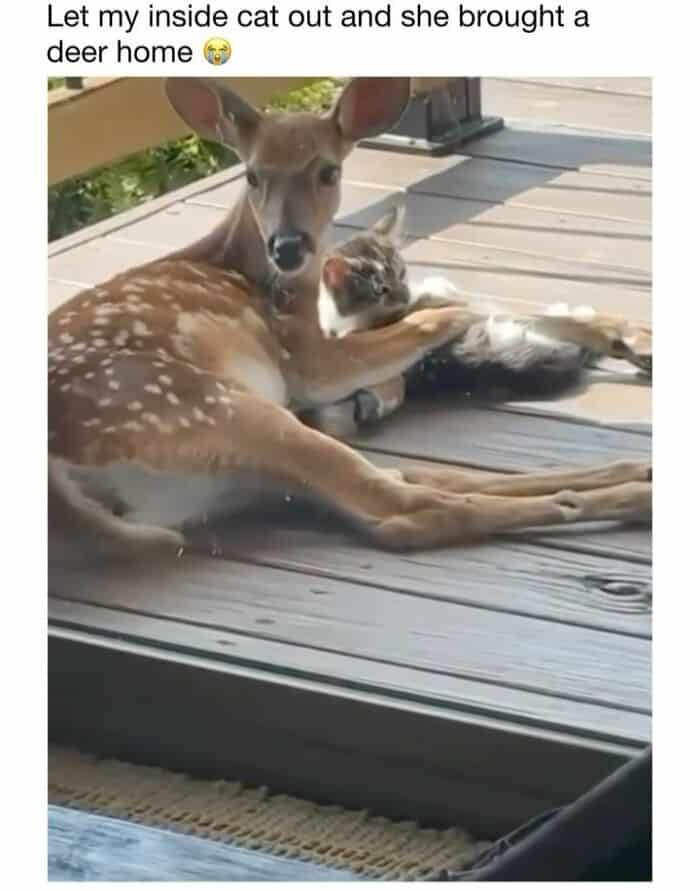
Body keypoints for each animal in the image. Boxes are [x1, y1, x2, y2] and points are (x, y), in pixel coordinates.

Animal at [48, 77, 651, 569]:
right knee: (408, 508)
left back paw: (631, 473)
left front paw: (627, 336)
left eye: (328, 169)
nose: (288, 246)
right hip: (214, 409)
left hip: (238, 477)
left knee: (409, 486)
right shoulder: (309, 358)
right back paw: (617, 497)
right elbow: (451, 311)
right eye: (252, 175)